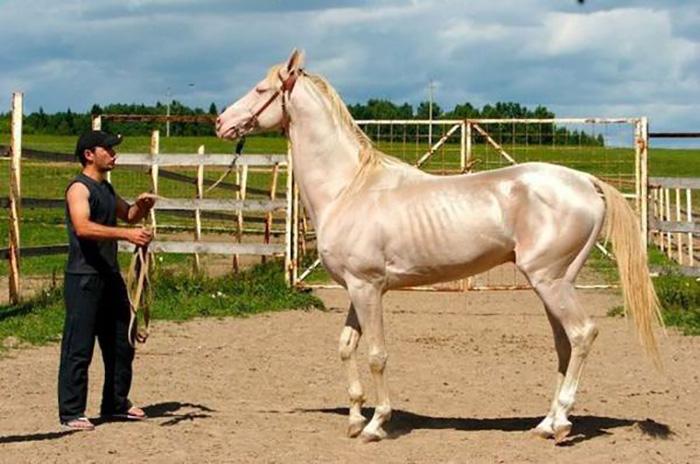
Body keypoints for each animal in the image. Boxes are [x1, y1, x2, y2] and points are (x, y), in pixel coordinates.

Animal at [216, 50, 663, 443]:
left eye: (260, 89)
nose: (221, 122)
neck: (350, 188)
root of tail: (585, 181)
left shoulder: (368, 288)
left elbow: (376, 353)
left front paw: (376, 425)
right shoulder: (356, 289)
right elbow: (346, 347)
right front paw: (355, 419)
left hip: (550, 282)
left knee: (583, 334)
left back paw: (563, 425)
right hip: (555, 284)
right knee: (564, 344)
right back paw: (547, 424)